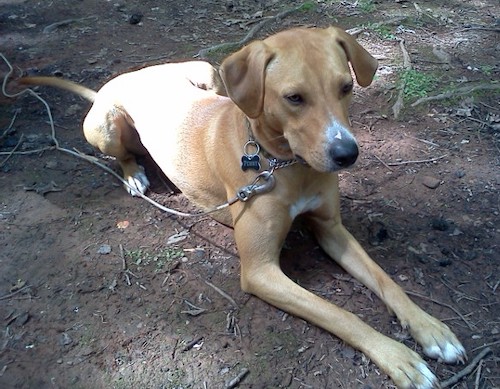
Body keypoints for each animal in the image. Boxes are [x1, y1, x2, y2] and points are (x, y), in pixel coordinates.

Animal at [18, 26, 464, 384]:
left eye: (345, 87)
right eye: (294, 97)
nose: (347, 154)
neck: (283, 163)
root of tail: (119, 81)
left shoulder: (331, 229)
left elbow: (387, 280)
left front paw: (430, 329)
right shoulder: (260, 270)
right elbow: (340, 314)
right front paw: (399, 357)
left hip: (208, 73)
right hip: (107, 127)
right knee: (123, 154)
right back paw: (134, 176)